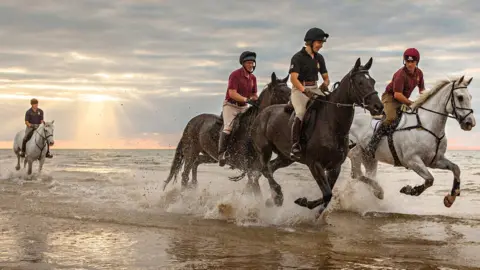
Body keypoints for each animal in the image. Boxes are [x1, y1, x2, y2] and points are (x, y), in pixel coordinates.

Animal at [248, 58, 382, 215]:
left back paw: (270, 198)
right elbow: (327, 194)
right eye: (360, 82)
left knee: (268, 168)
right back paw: (278, 197)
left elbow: (327, 195)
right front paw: (303, 202)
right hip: (265, 150)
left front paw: (308, 206)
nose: (378, 107)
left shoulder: (335, 166)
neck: (332, 125)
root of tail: (262, 113)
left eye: (372, 81)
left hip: (285, 157)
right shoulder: (315, 164)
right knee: (264, 169)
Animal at [348, 76, 476, 207]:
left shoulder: (435, 160)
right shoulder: (412, 160)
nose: (470, 123)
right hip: (355, 152)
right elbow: (430, 179)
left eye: (470, 97)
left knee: (367, 174)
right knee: (356, 174)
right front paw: (410, 190)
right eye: (460, 97)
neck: (427, 126)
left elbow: (456, 169)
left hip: (369, 158)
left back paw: (376, 192)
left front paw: (451, 198)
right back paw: (379, 191)